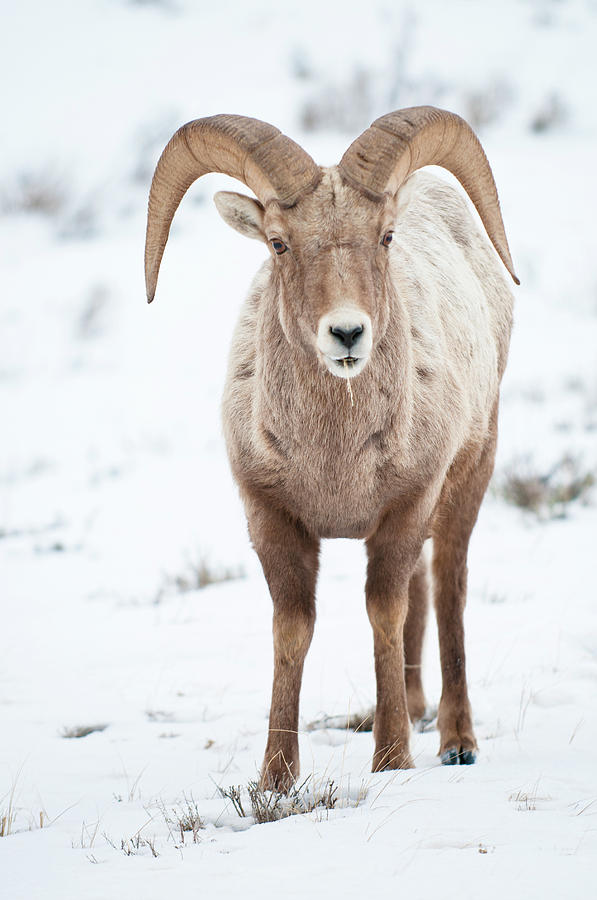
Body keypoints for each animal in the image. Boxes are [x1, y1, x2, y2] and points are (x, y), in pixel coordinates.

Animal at [143, 107, 516, 788]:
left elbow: (383, 614)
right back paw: (416, 711)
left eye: (386, 236)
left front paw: (392, 759)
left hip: (470, 477)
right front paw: (275, 778)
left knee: (448, 586)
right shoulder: (272, 518)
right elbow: (293, 630)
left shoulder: (403, 510)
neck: (334, 457)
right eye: (278, 242)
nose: (346, 334)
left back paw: (455, 741)